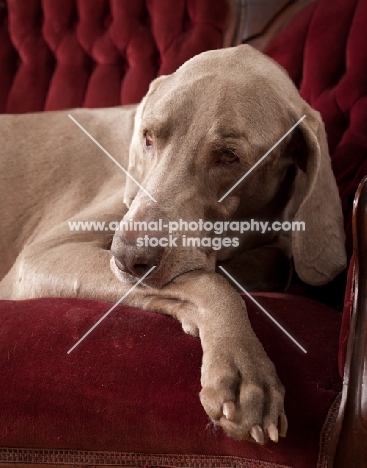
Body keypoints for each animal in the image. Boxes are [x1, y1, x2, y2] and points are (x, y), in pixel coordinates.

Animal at [0, 45, 348, 444]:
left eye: (230, 155)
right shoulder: (42, 255)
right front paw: (243, 366)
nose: (127, 258)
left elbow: (276, 260)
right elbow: (210, 282)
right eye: (148, 137)